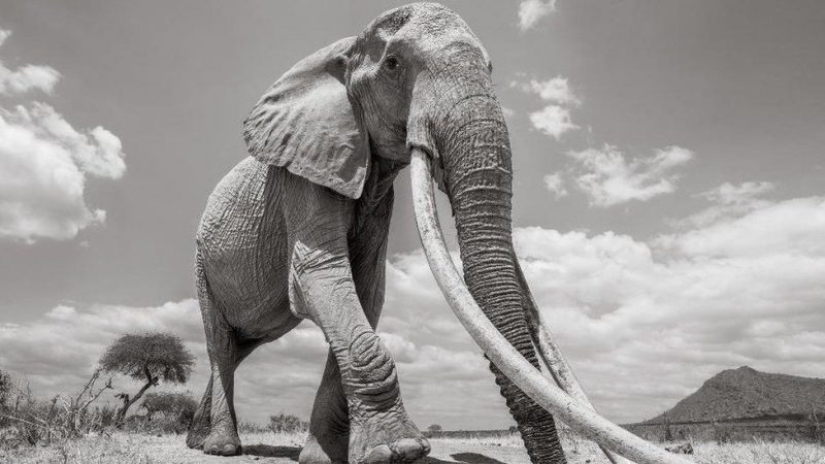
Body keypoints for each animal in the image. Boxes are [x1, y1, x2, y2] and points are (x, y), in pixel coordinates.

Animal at [187, 3, 697, 464]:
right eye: (394, 65)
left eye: (490, 68)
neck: (341, 51)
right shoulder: (303, 176)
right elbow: (320, 277)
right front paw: (401, 450)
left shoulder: (377, 196)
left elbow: (365, 292)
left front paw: (325, 458)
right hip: (201, 265)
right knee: (220, 344)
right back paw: (221, 447)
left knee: (240, 346)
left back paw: (197, 439)